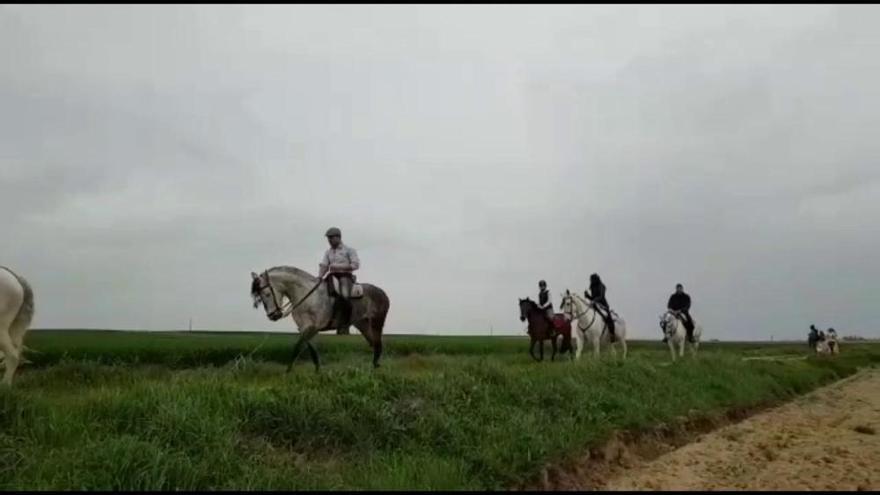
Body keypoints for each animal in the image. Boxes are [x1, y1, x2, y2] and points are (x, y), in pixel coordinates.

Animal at [251, 266, 388, 370]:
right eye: (260, 298)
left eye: (267, 294)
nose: (273, 315)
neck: (308, 297)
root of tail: (382, 292)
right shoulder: (304, 328)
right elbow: (312, 351)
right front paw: (317, 371)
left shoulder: (313, 327)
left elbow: (297, 347)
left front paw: (288, 372)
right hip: (362, 324)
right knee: (373, 344)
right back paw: (374, 367)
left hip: (377, 322)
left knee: (378, 344)